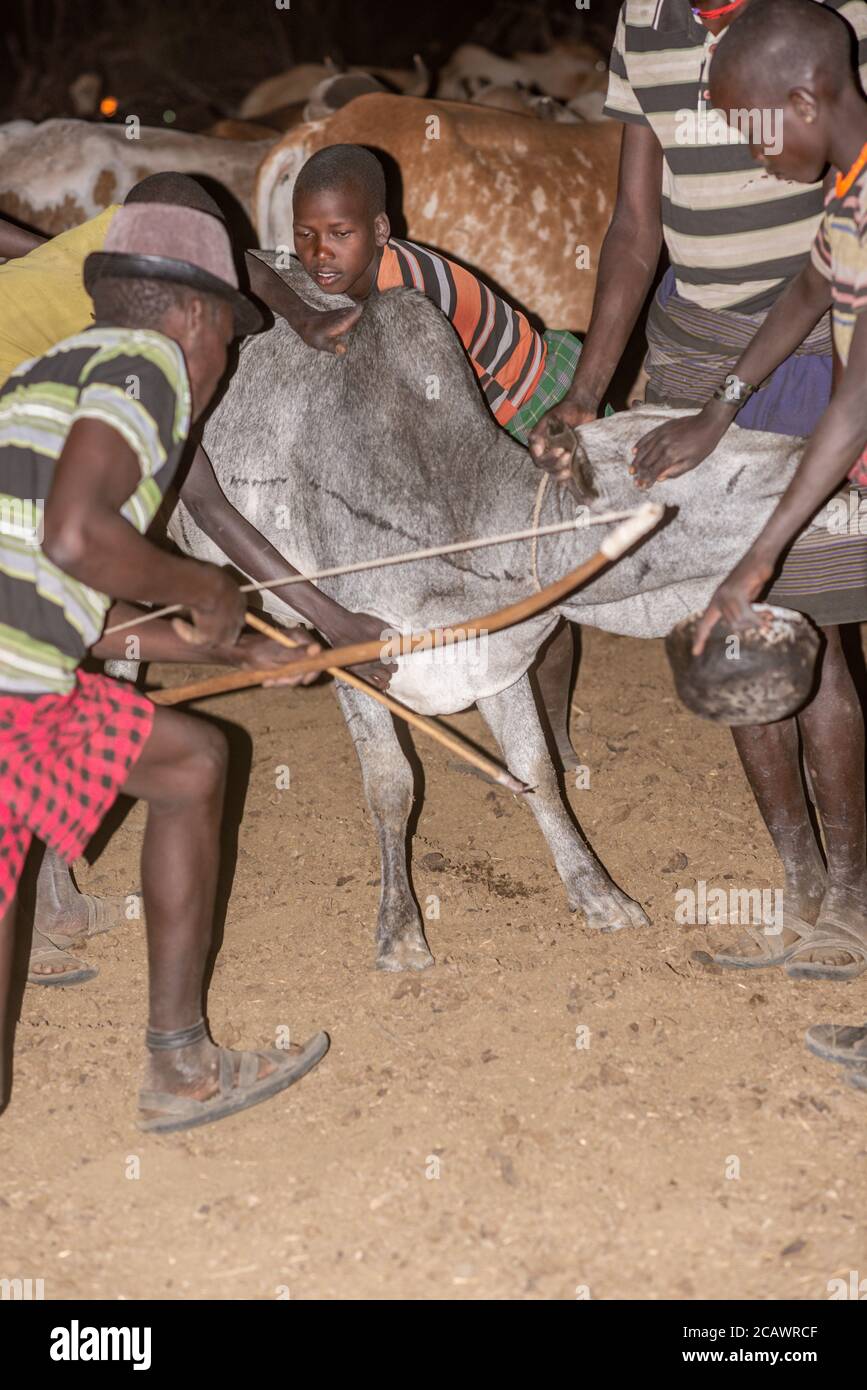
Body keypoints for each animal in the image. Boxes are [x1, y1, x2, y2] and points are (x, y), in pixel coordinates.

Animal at [169, 262, 811, 978]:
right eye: (724, 469)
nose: (817, 457)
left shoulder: (500, 657)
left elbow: (537, 771)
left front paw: (597, 891)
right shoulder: (356, 652)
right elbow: (390, 785)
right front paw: (401, 930)